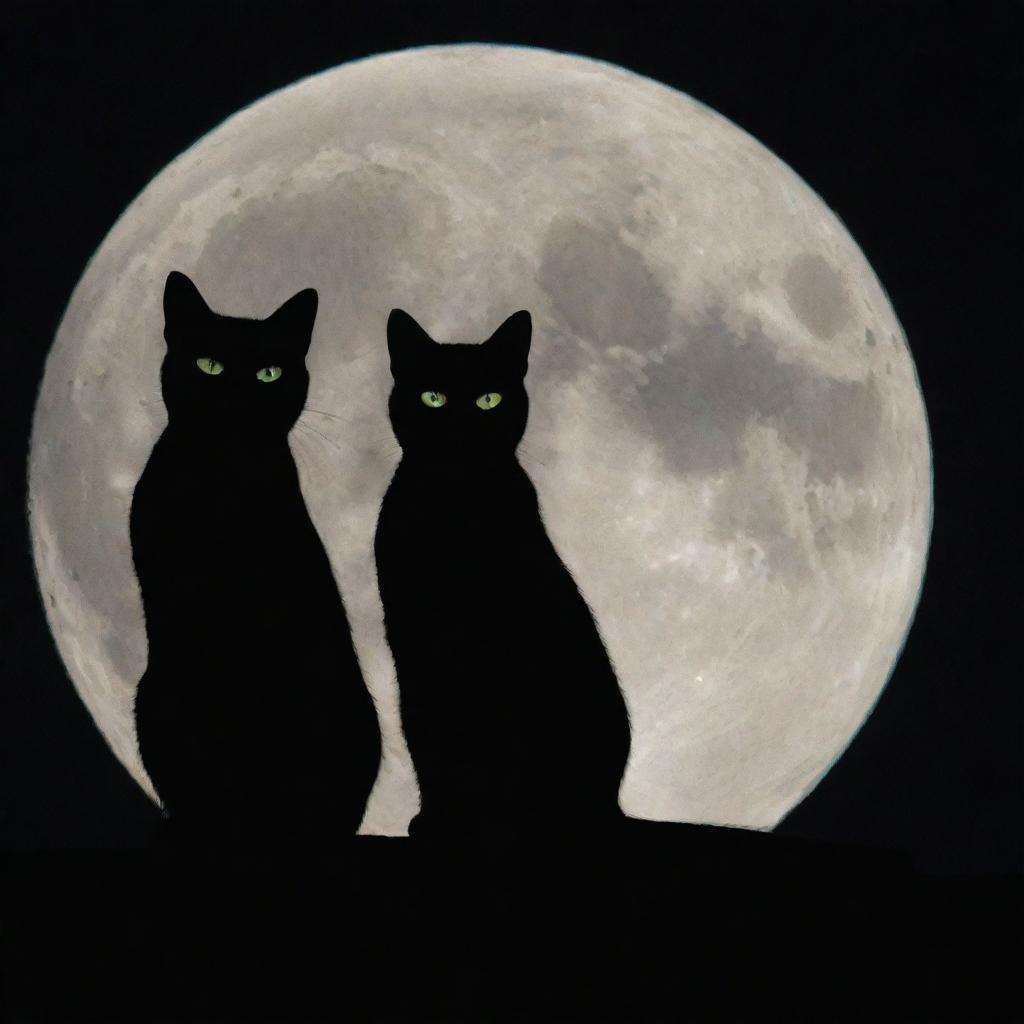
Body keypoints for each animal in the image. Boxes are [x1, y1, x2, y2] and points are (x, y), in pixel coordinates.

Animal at [376, 307, 630, 835]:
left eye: (488, 399)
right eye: (433, 397)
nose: (462, 425)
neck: (457, 507)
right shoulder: (413, 640)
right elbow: (428, 739)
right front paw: (437, 815)